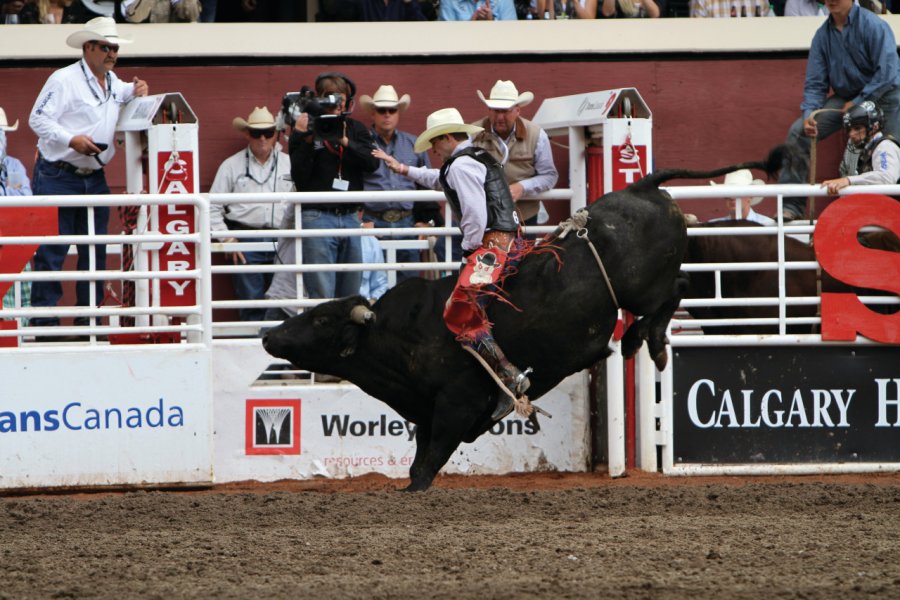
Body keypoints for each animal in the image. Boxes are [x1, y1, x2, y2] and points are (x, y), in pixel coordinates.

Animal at [258, 152, 780, 490]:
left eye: (322, 321)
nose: (268, 335)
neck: (401, 335)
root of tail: (639, 186)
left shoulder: (456, 405)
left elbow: (425, 468)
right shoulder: (427, 411)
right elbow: (418, 461)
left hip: (645, 286)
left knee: (677, 289)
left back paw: (644, 339)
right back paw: (638, 339)